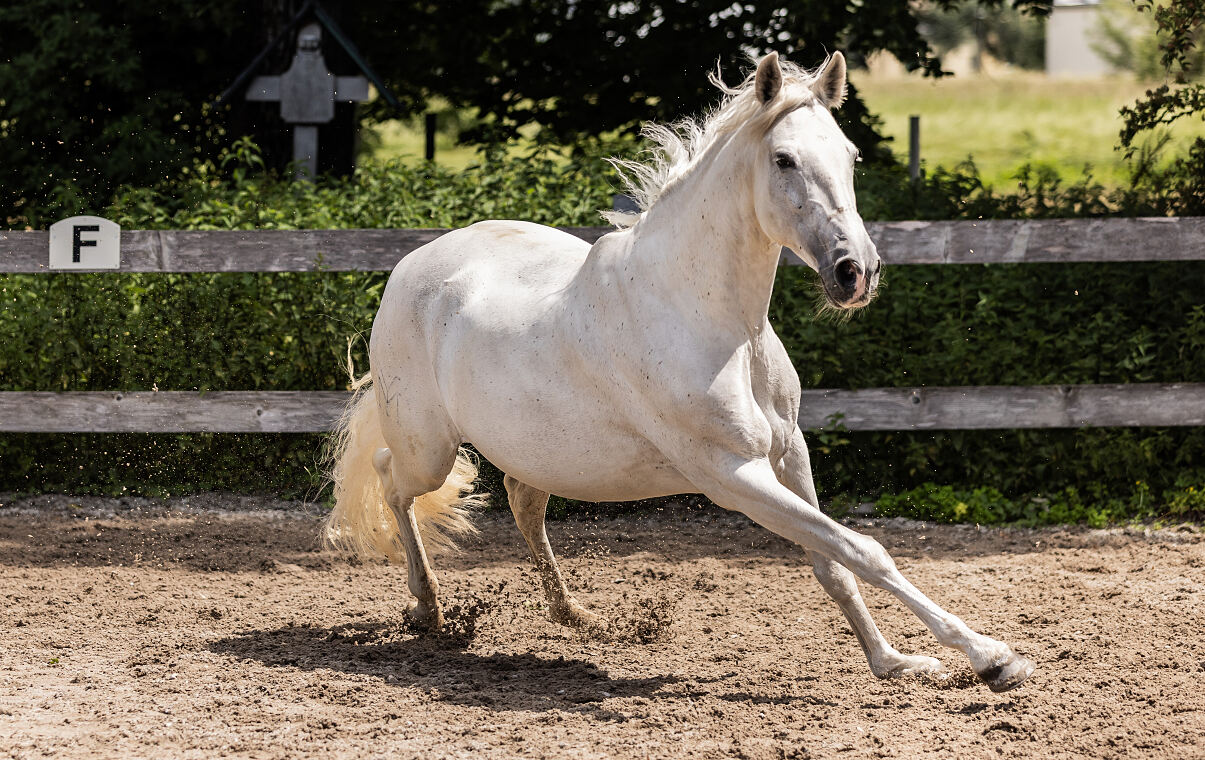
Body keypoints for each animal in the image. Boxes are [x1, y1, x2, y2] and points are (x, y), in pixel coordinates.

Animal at [327, 52, 1036, 693]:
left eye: (851, 155)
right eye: (784, 160)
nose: (854, 273)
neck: (717, 324)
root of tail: (411, 265)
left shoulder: (789, 452)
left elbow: (832, 561)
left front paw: (894, 663)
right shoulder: (731, 474)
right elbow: (863, 549)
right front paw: (993, 659)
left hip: (538, 449)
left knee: (522, 502)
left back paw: (575, 615)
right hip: (430, 448)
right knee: (392, 478)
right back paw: (427, 609)